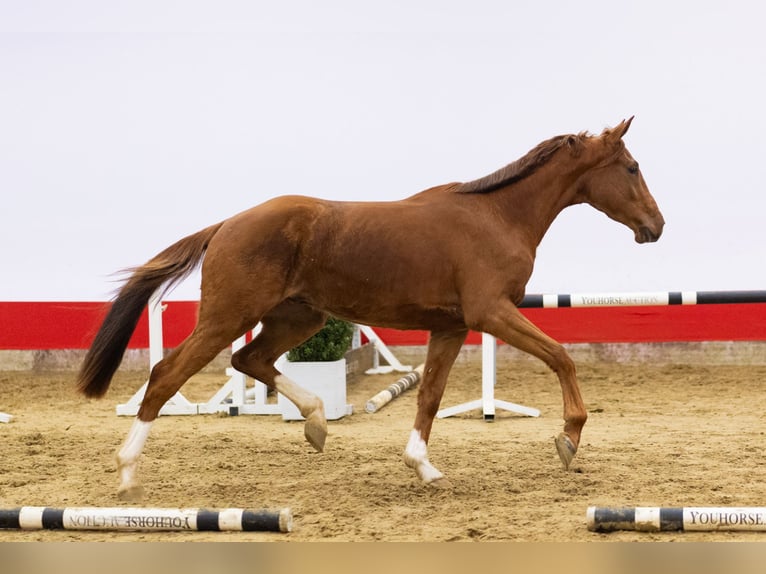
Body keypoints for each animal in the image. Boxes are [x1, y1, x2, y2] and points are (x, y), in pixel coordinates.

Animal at [78, 117, 664, 500]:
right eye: (632, 168)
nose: (655, 227)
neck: (497, 216)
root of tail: (226, 224)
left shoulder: (451, 327)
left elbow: (430, 396)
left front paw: (423, 468)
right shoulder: (491, 313)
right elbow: (562, 355)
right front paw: (569, 438)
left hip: (298, 316)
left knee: (250, 360)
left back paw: (316, 422)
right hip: (229, 317)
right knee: (166, 374)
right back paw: (127, 472)